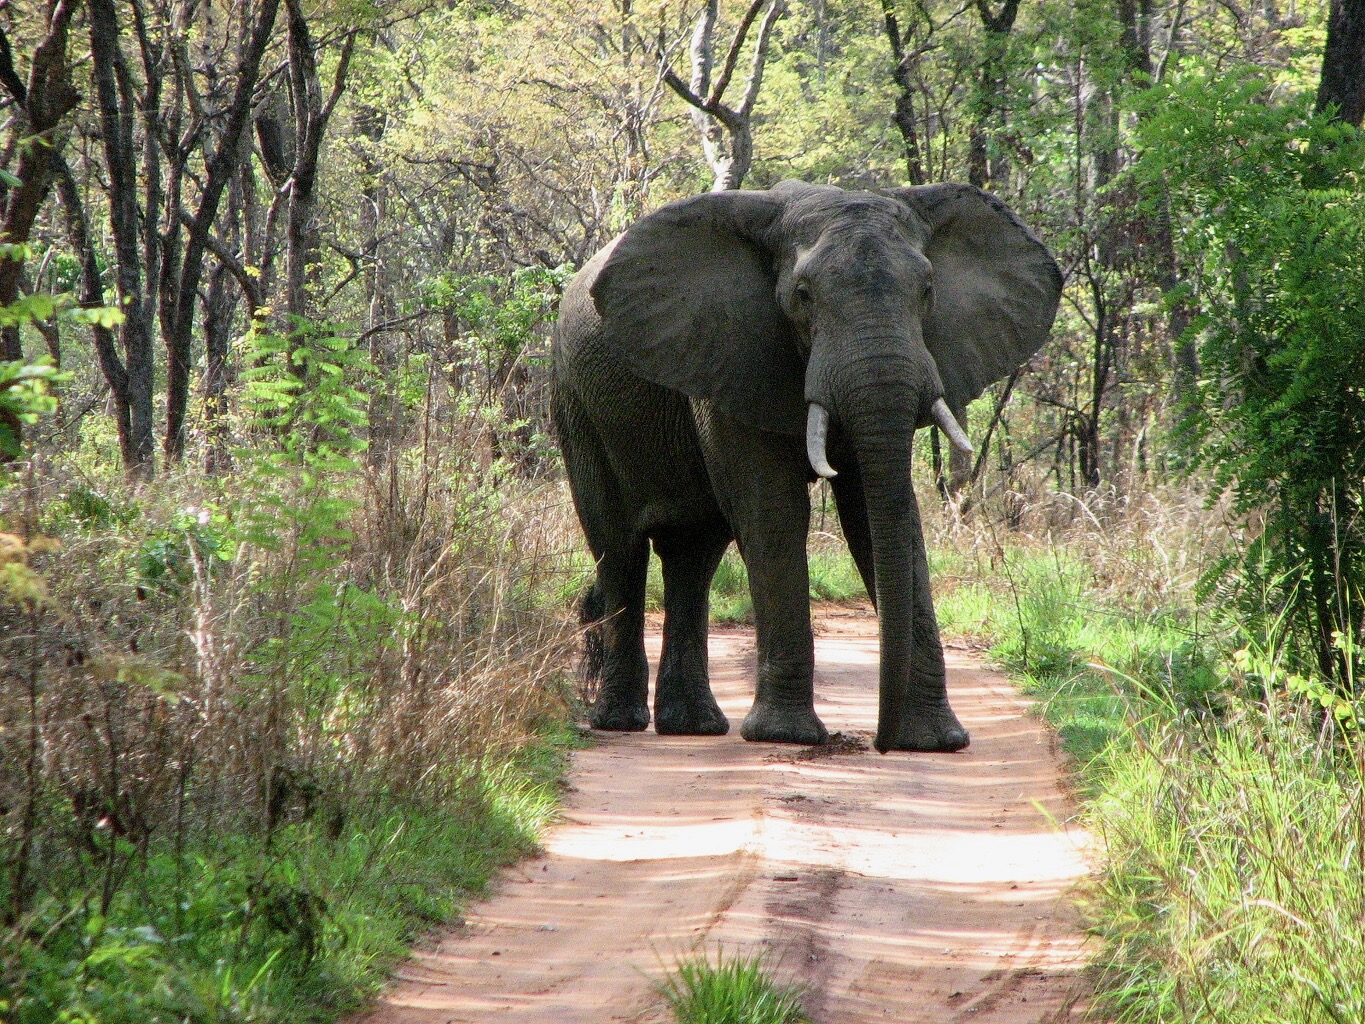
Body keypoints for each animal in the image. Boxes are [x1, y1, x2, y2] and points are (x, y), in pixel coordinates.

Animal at [551, 180, 1061, 753]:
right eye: (803, 295)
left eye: (928, 290)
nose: (880, 741)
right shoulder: (733, 355)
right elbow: (772, 510)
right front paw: (786, 736)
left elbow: (879, 514)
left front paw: (934, 741)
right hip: (575, 404)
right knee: (619, 549)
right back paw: (620, 721)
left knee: (693, 555)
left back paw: (694, 727)